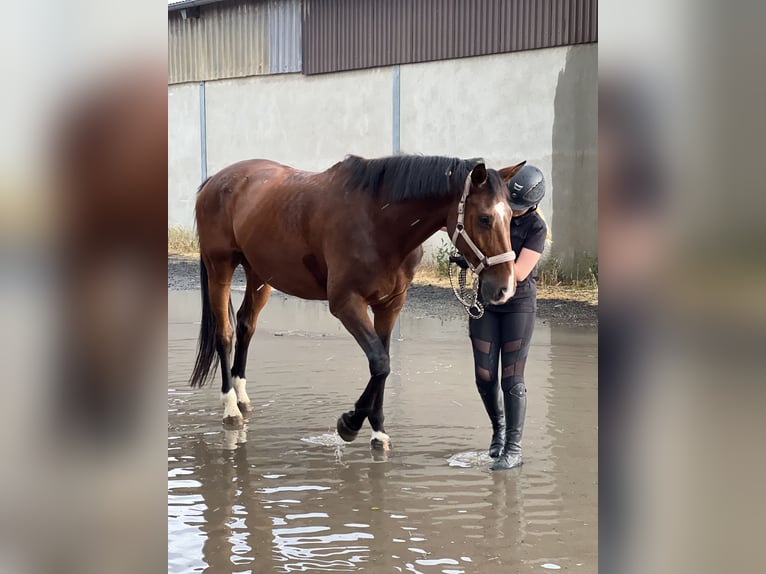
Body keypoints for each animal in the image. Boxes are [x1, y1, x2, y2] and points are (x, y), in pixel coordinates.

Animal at [192, 155, 528, 452]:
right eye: (484, 218)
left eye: (511, 217)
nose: (505, 288)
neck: (378, 221)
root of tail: (216, 180)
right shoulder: (346, 304)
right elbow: (380, 363)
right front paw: (349, 423)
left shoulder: (390, 304)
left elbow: (384, 363)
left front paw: (377, 431)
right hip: (220, 267)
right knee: (225, 333)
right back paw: (230, 407)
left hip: (260, 273)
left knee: (246, 324)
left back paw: (241, 395)